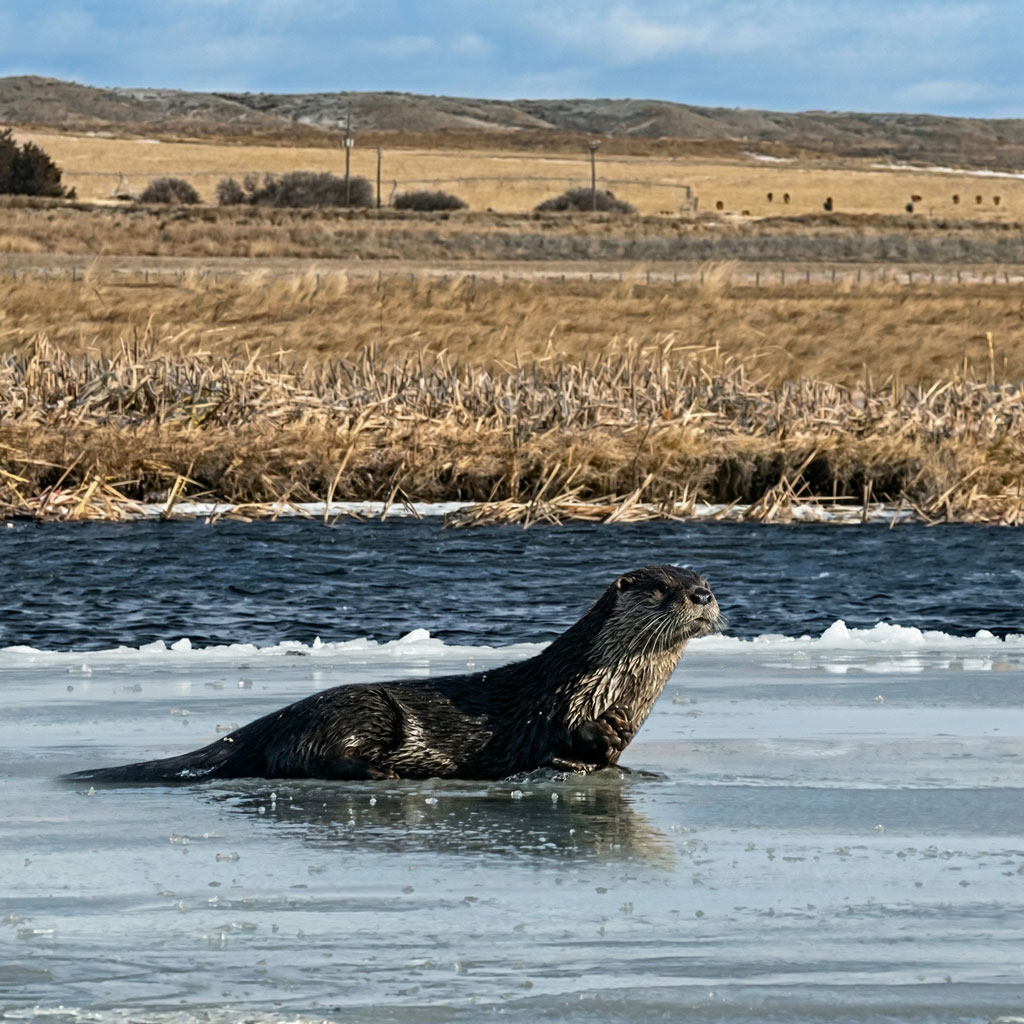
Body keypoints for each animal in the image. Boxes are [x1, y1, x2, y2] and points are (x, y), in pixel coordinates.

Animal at [64, 564, 719, 784]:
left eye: (700, 580)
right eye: (661, 587)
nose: (703, 595)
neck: (612, 683)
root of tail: (272, 718)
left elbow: (610, 755)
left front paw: (610, 744)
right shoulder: (552, 705)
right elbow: (547, 744)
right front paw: (585, 744)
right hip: (362, 712)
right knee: (308, 759)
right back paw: (384, 773)